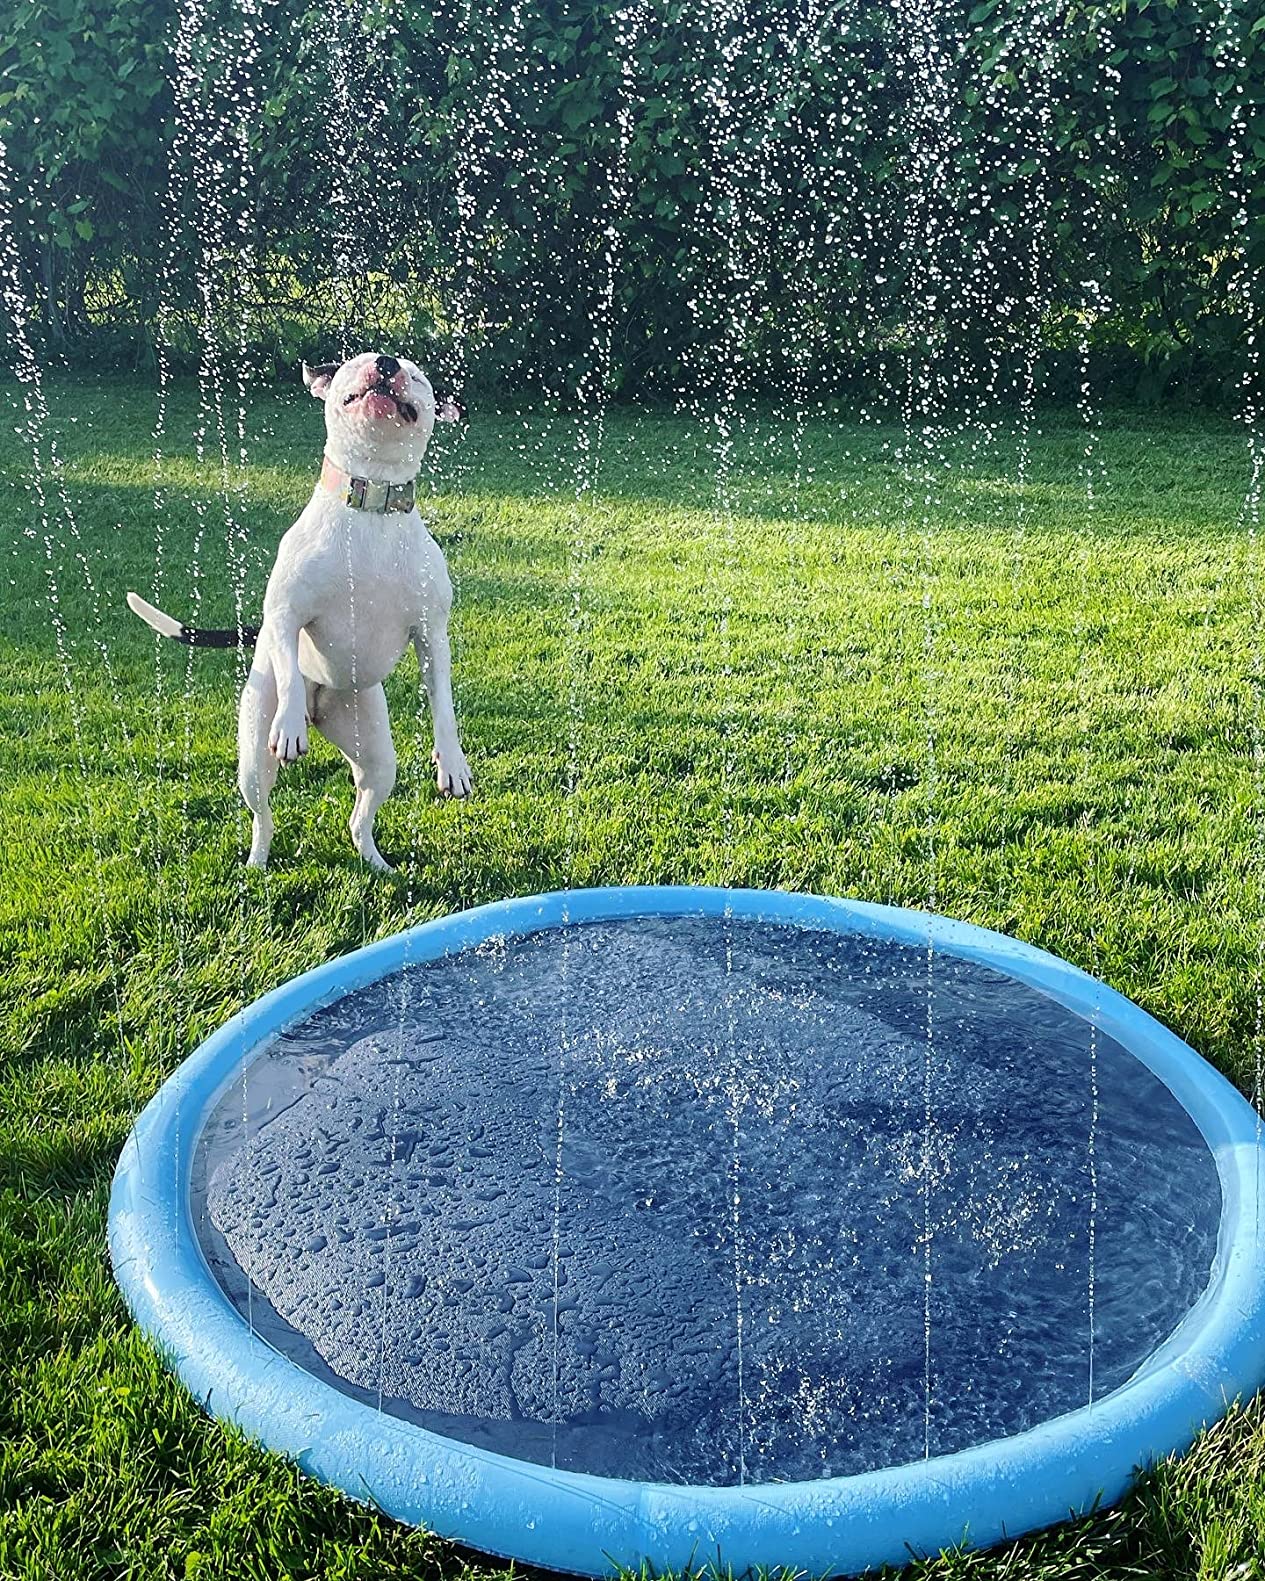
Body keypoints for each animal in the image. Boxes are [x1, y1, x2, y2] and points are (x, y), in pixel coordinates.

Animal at [125, 354, 471, 872]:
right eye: (357, 362)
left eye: (418, 376)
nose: (385, 362)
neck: (370, 505)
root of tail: (319, 706)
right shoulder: (287, 616)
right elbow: (289, 667)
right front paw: (289, 727)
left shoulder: (433, 635)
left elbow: (443, 703)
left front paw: (452, 762)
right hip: (253, 756)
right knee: (262, 814)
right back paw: (257, 861)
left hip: (374, 753)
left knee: (359, 817)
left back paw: (376, 862)